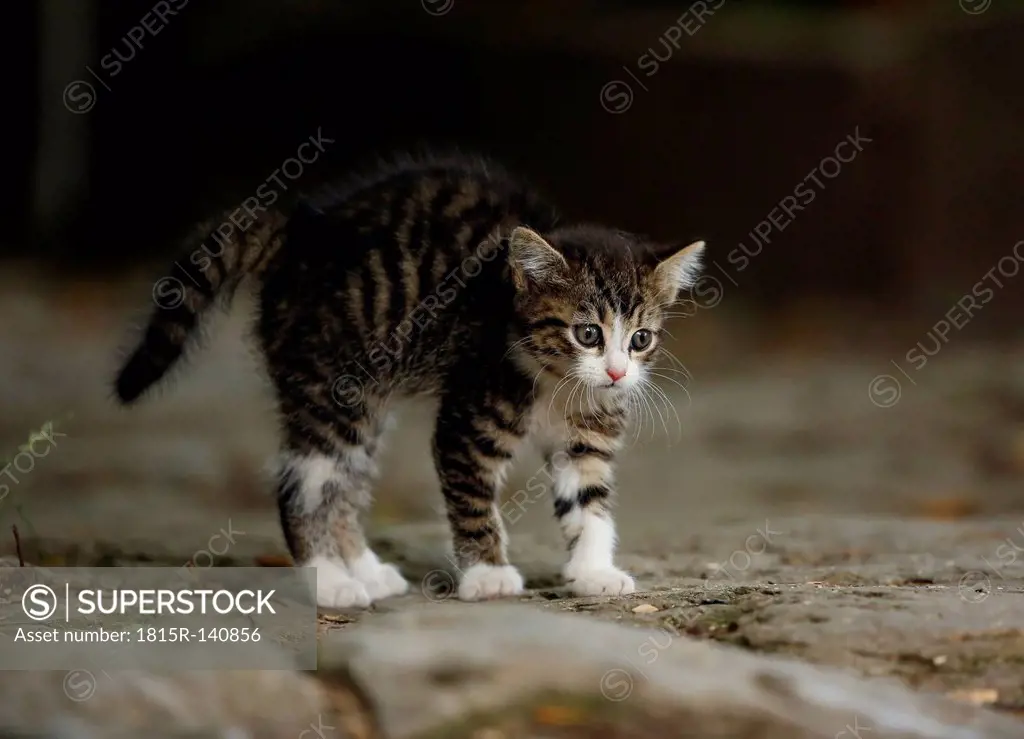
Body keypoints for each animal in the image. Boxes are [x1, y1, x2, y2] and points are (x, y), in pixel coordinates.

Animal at [114, 151, 704, 605]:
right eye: (587, 333)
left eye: (640, 339)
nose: (617, 371)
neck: (558, 381)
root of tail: (303, 232)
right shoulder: (468, 419)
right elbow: (473, 502)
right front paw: (487, 574)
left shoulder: (589, 432)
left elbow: (589, 498)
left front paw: (594, 571)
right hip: (328, 382)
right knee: (301, 481)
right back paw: (330, 582)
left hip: (363, 399)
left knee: (344, 481)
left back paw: (365, 570)